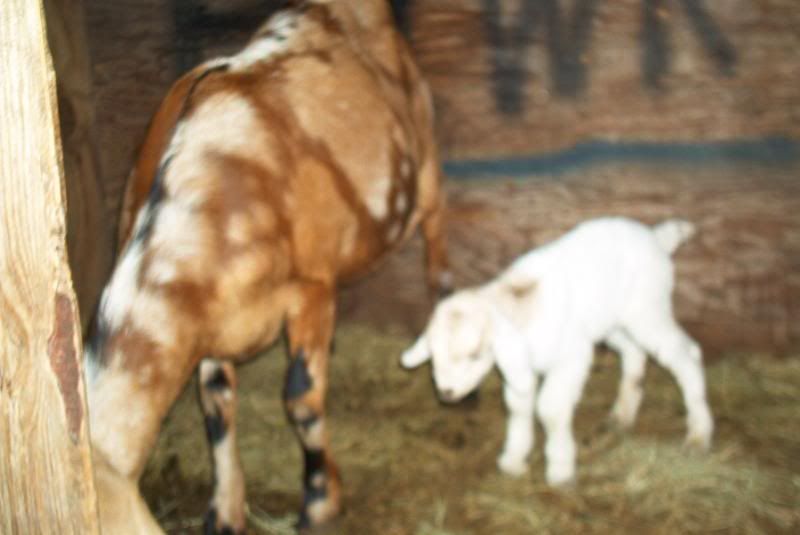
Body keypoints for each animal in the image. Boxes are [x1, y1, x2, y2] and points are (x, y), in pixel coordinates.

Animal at [85, 1, 451, 533]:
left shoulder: (310, 288)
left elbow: (301, 399)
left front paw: (319, 502)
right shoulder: (211, 325)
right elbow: (216, 406)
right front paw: (225, 510)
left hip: (425, 164)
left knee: (438, 257)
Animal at [402, 217, 713, 486]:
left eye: (475, 354)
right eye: (433, 354)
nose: (446, 393)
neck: (521, 306)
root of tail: (656, 237)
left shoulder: (571, 356)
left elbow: (549, 409)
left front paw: (560, 470)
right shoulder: (520, 366)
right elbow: (518, 408)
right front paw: (513, 461)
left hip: (647, 307)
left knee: (687, 352)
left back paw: (698, 435)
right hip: (612, 320)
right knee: (633, 351)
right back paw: (622, 415)